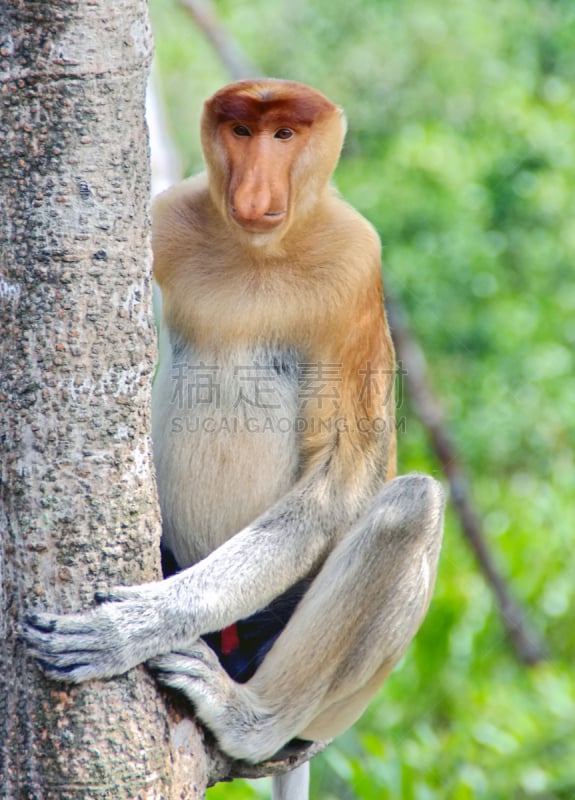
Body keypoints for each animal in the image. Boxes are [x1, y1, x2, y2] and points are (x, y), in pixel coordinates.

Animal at [25, 78, 446, 796]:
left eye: (284, 135)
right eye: (241, 131)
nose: (253, 192)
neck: (260, 252)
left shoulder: (356, 262)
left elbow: (336, 485)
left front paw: (128, 628)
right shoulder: (167, 215)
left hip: (326, 695)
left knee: (409, 507)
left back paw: (249, 717)